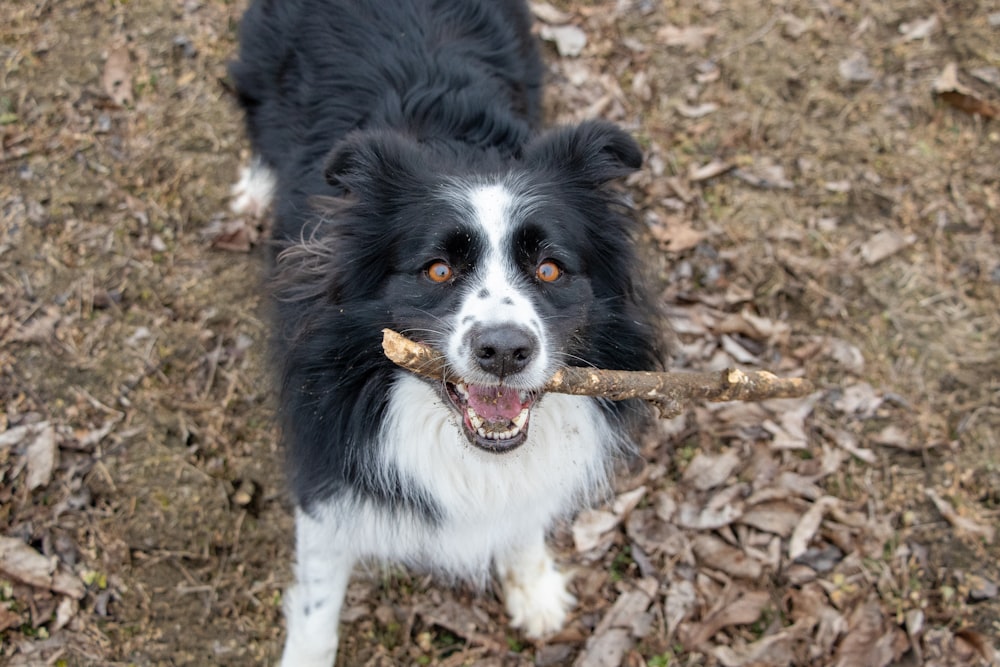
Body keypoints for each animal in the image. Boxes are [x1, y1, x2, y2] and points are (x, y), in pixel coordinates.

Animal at [230, 1, 660, 664]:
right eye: (437, 269)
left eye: (550, 269)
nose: (504, 351)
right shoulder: (326, 465)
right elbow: (316, 602)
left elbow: (523, 507)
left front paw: (534, 588)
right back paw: (254, 190)